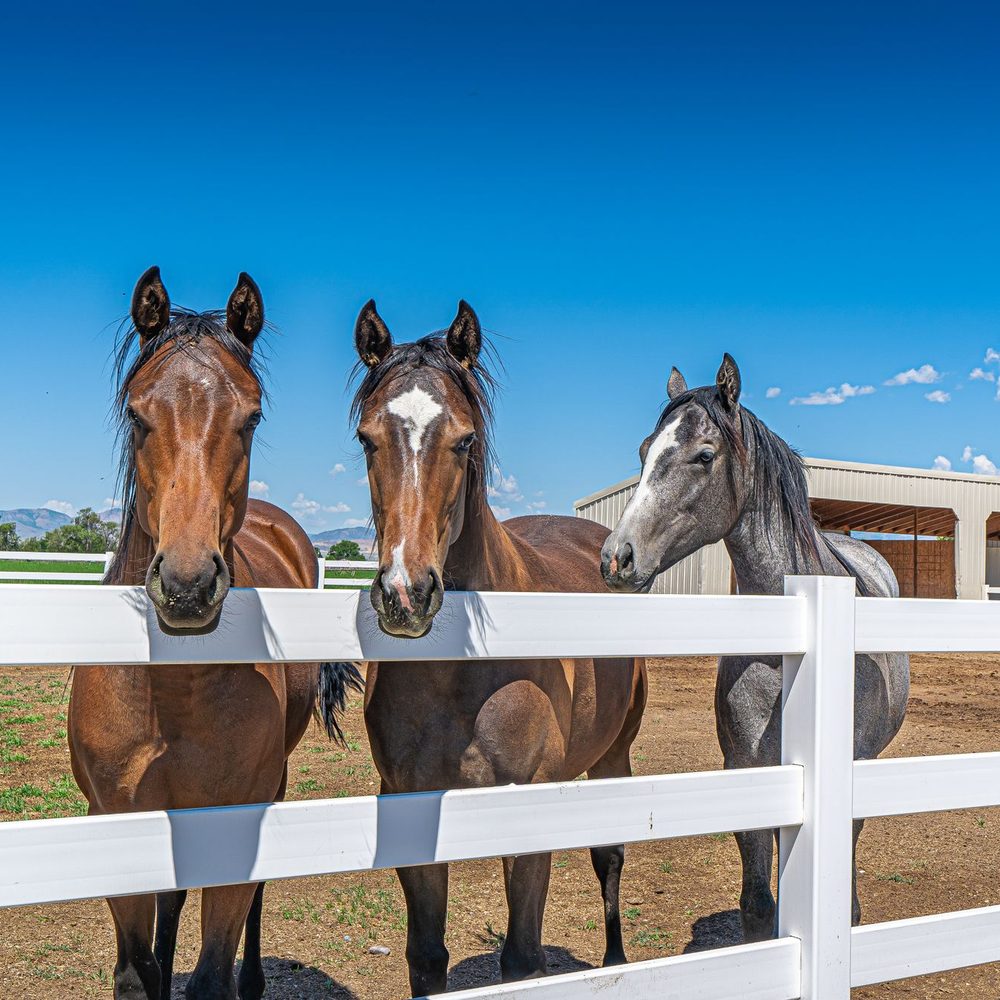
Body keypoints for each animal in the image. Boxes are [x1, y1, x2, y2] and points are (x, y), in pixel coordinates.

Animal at [68, 267, 360, 1000]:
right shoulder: (119, 827)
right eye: (137, 414)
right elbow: (137, 971)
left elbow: (210, 972)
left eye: (250, 416)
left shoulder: (236, 820)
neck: (172, 692)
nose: (188, 583)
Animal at [348, 300, 647, 994]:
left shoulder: (528, 815)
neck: (463, 677)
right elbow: (427, 958)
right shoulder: (410, 806)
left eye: (464, 441)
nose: (406, 593)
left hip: (613, 755)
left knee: (609, 857)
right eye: (367, 439)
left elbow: (522, 958)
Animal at [600, 354, 910, 941]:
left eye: (704, 455)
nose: (616, 557)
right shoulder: (745, 767)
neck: (790, 655)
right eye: (643, 451)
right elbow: (758, 906)